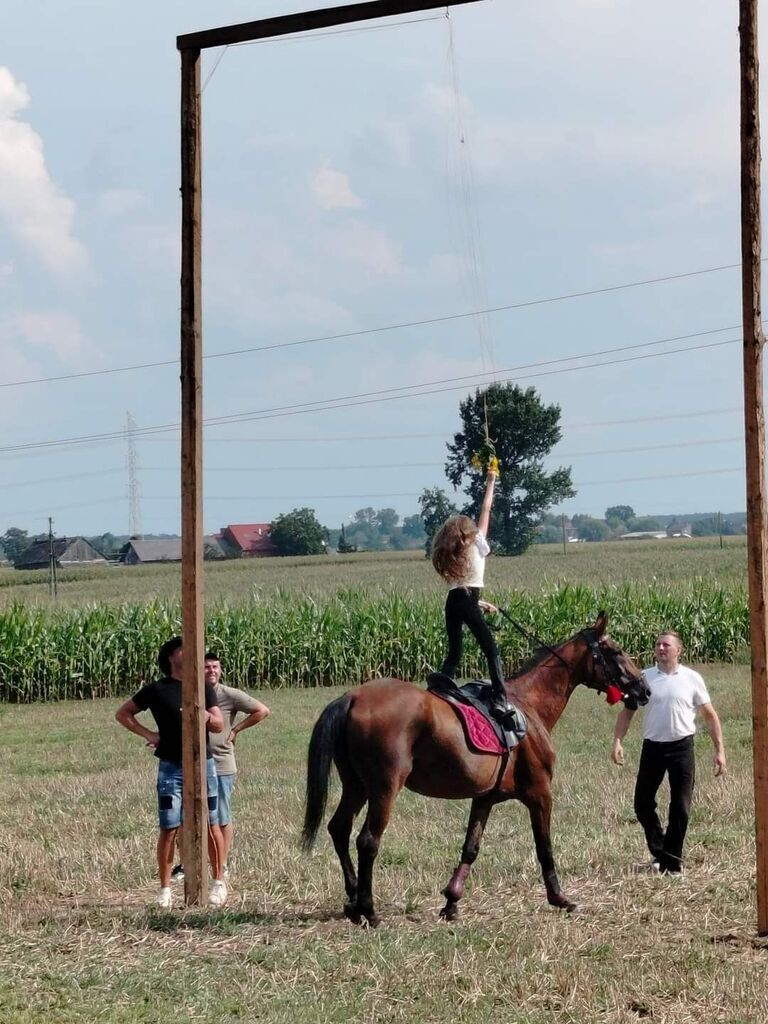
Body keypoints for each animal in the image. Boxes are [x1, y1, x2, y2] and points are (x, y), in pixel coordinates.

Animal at [303, 610, 651, 925]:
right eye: (615, 650)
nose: (644, 689)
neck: (529, 705)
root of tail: (353, 696)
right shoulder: (540, 794)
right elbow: (544, 846)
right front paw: (560, 898)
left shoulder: (485, 797)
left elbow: (471, 847)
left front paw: (451, 902)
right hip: (383, 788)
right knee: (367, 840)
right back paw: (369, 909)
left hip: (356, 786)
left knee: (339, 828)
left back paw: (352, 901)